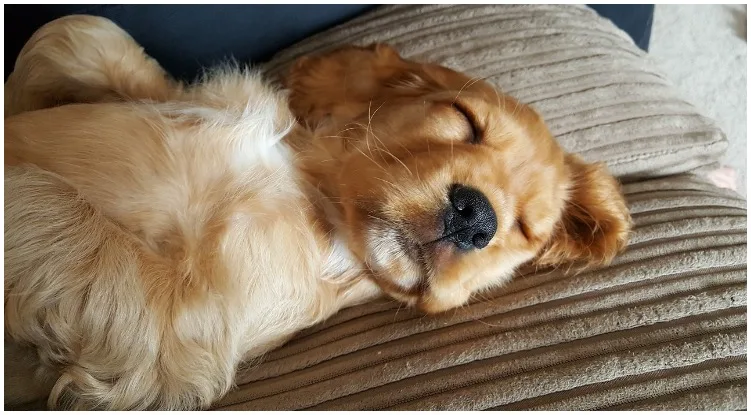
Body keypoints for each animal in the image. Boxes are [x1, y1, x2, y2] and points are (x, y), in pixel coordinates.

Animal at [4, 14, 636, 412]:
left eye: (524, 229)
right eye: (465, 121)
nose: (477, 219)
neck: (314, 189)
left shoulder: (182, 326)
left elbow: (48, 206)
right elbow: (79, 31)